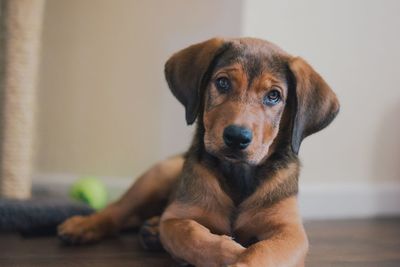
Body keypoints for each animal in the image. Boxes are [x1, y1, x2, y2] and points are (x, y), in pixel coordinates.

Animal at [58, 38, 340, 267]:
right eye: (223, 82)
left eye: (274, 96)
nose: (236, 137)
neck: (238, 176)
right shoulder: (176, 218)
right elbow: (193, 235)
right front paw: (232, 250)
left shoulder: (290, 232)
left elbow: (264, 252)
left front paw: (243, 256)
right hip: (157, 175)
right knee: (117, 210)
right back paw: (84, 225)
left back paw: (149, 229)